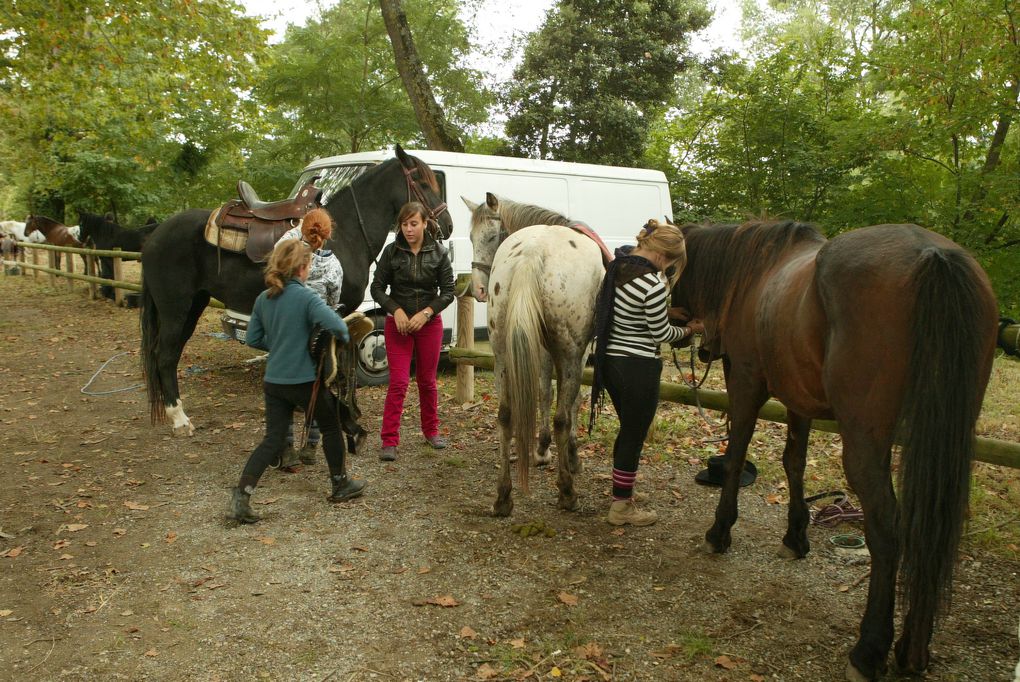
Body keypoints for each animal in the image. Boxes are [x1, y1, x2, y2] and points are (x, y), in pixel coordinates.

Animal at [669, 221, 995, 676]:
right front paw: (795, 537)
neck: (754, 272)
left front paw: (720, 532)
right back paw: (913, 650)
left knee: (887, 528)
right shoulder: (798, 399)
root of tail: (932, 255)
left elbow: (735, 457)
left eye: (671, 270)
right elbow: (794, 462)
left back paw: (869, 649)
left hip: (864, 441)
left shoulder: (746, 382)